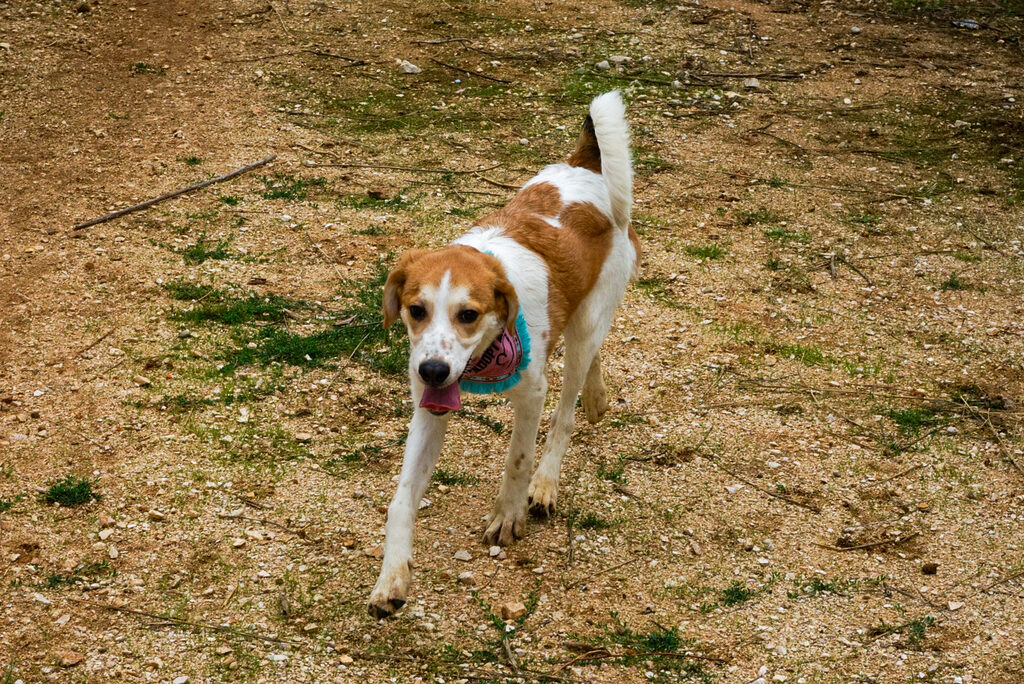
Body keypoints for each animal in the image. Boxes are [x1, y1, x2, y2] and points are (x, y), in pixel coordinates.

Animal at [368, 91, 639, 618]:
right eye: (416, 309)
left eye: (468, 314)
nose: (433, 370)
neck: (482, 356)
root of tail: (586, 164)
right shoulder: (429, 408)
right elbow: (401, 499)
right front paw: (392, 577)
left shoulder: (531, 394)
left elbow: (517, 458)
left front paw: (508, 515)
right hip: (582, 318)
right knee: (593, 359)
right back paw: (597, 397)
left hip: (581, 334)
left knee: (566, 413)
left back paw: (547, 481)